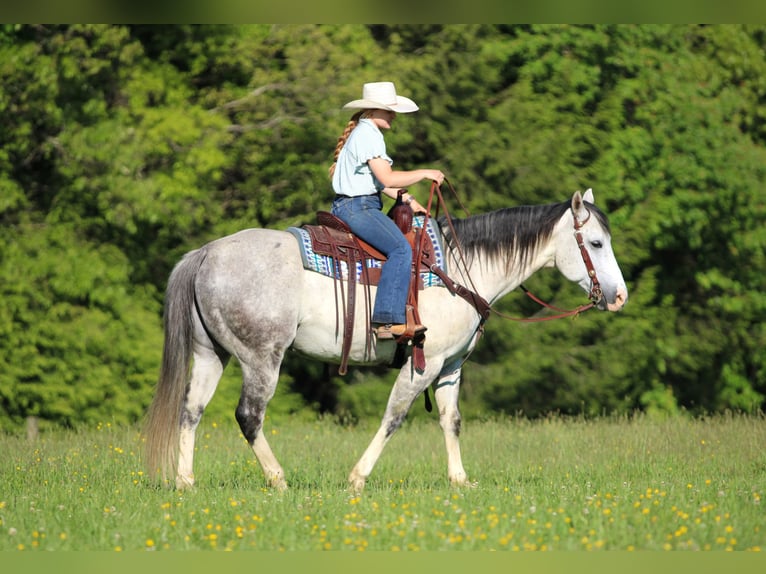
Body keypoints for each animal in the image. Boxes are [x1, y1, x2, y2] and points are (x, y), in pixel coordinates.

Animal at [144, 188, 628, 492]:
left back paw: (186, 482)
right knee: (249, 416)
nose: (620, 296)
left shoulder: (451, 368)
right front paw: (358, 477)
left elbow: (451, 420)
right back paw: (278, 480)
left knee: (191, 411)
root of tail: (206, 253)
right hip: (262, 358)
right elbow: (394, 417)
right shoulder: (425, 362)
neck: (462, 267)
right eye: (596, 243)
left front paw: (460, 481)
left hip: (212, 354)